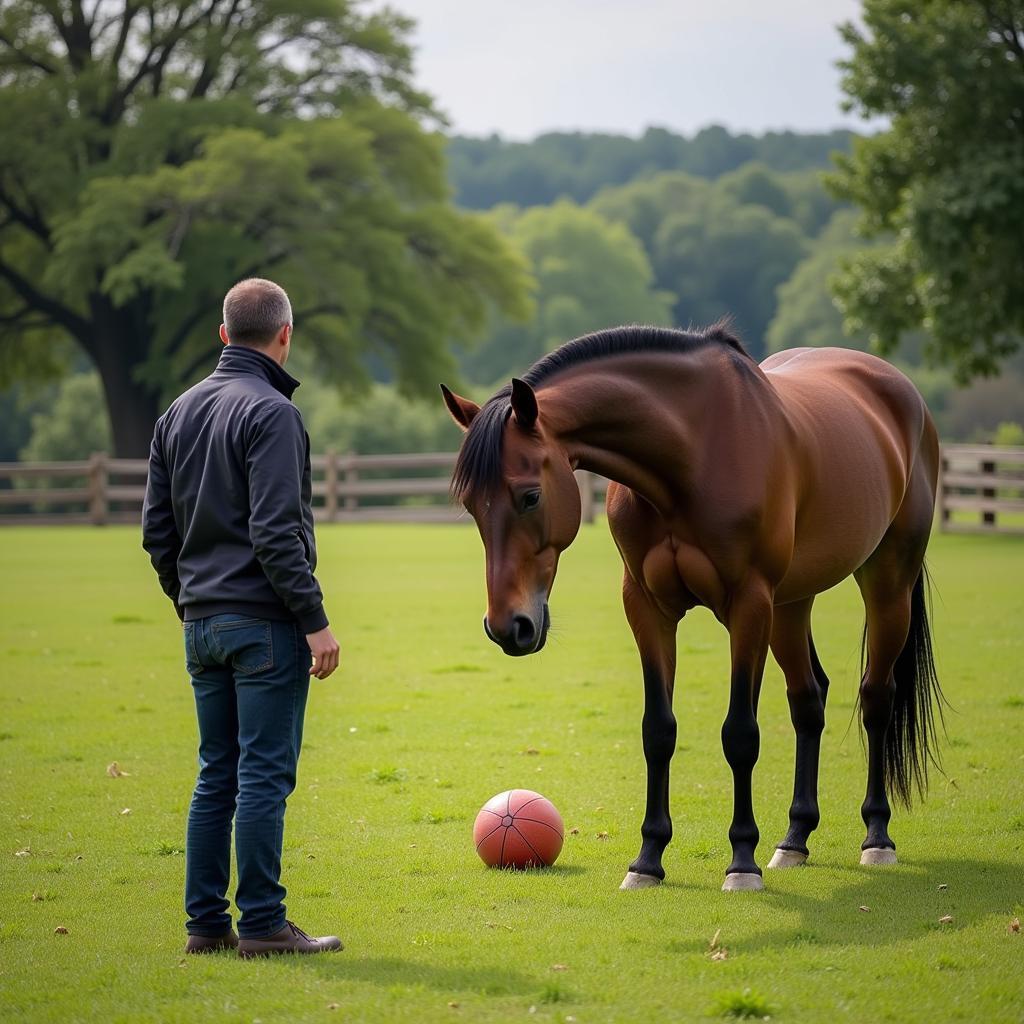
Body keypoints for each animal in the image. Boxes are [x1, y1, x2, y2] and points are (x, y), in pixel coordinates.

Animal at [440, 325, 942, 888]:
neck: (692, 453)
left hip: (886, 581)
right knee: (808, 701)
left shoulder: (748, 605)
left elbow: (740, 734)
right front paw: (648, 859)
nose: (509, 627)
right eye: (471, 505)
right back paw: (794, 838)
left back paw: (876, 837)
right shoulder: (647, 608)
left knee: (876, 698)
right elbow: (658, 731)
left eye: (529, 496)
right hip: (791, 604)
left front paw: (741, 861)